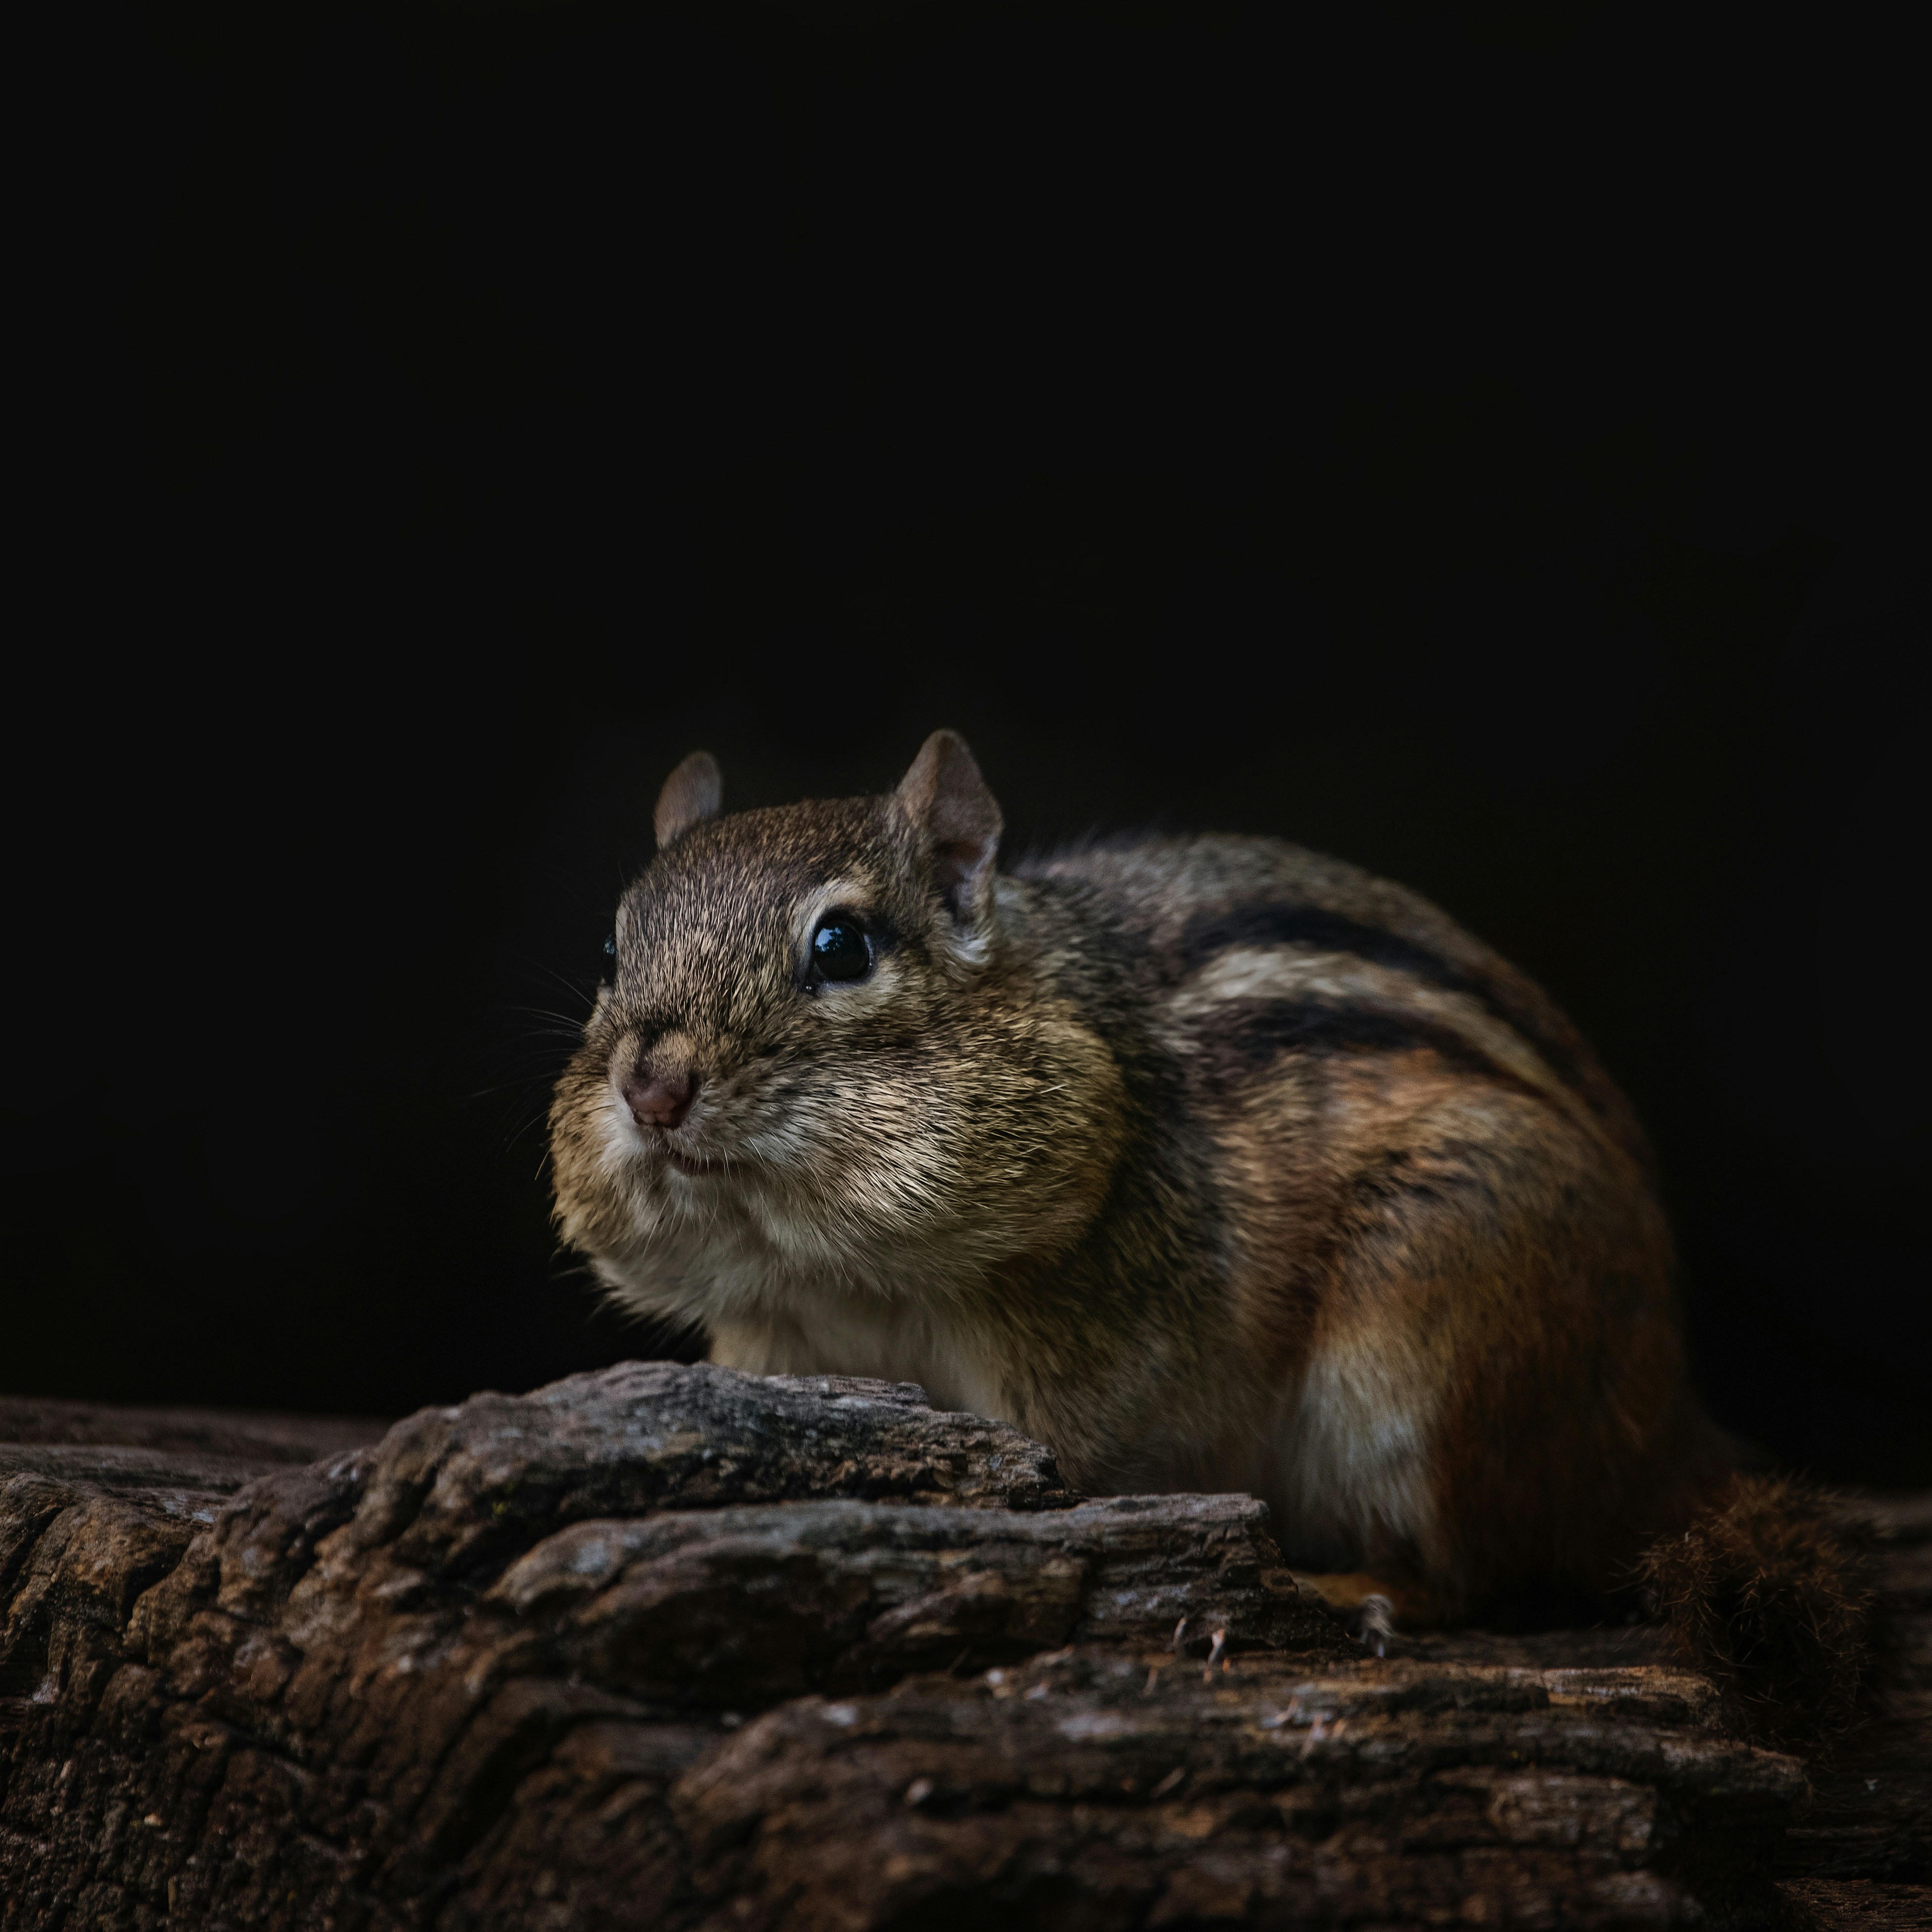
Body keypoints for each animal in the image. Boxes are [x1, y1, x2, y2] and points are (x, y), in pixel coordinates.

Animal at [550, 732, 1873, 1705]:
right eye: (611, 948)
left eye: (841, 946)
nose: (651, 1086)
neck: (832, 1277)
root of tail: (1664, 1422)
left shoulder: (1089, 1376)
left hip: (1437, 1343)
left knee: (1477, 1569)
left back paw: (1348, 1595)